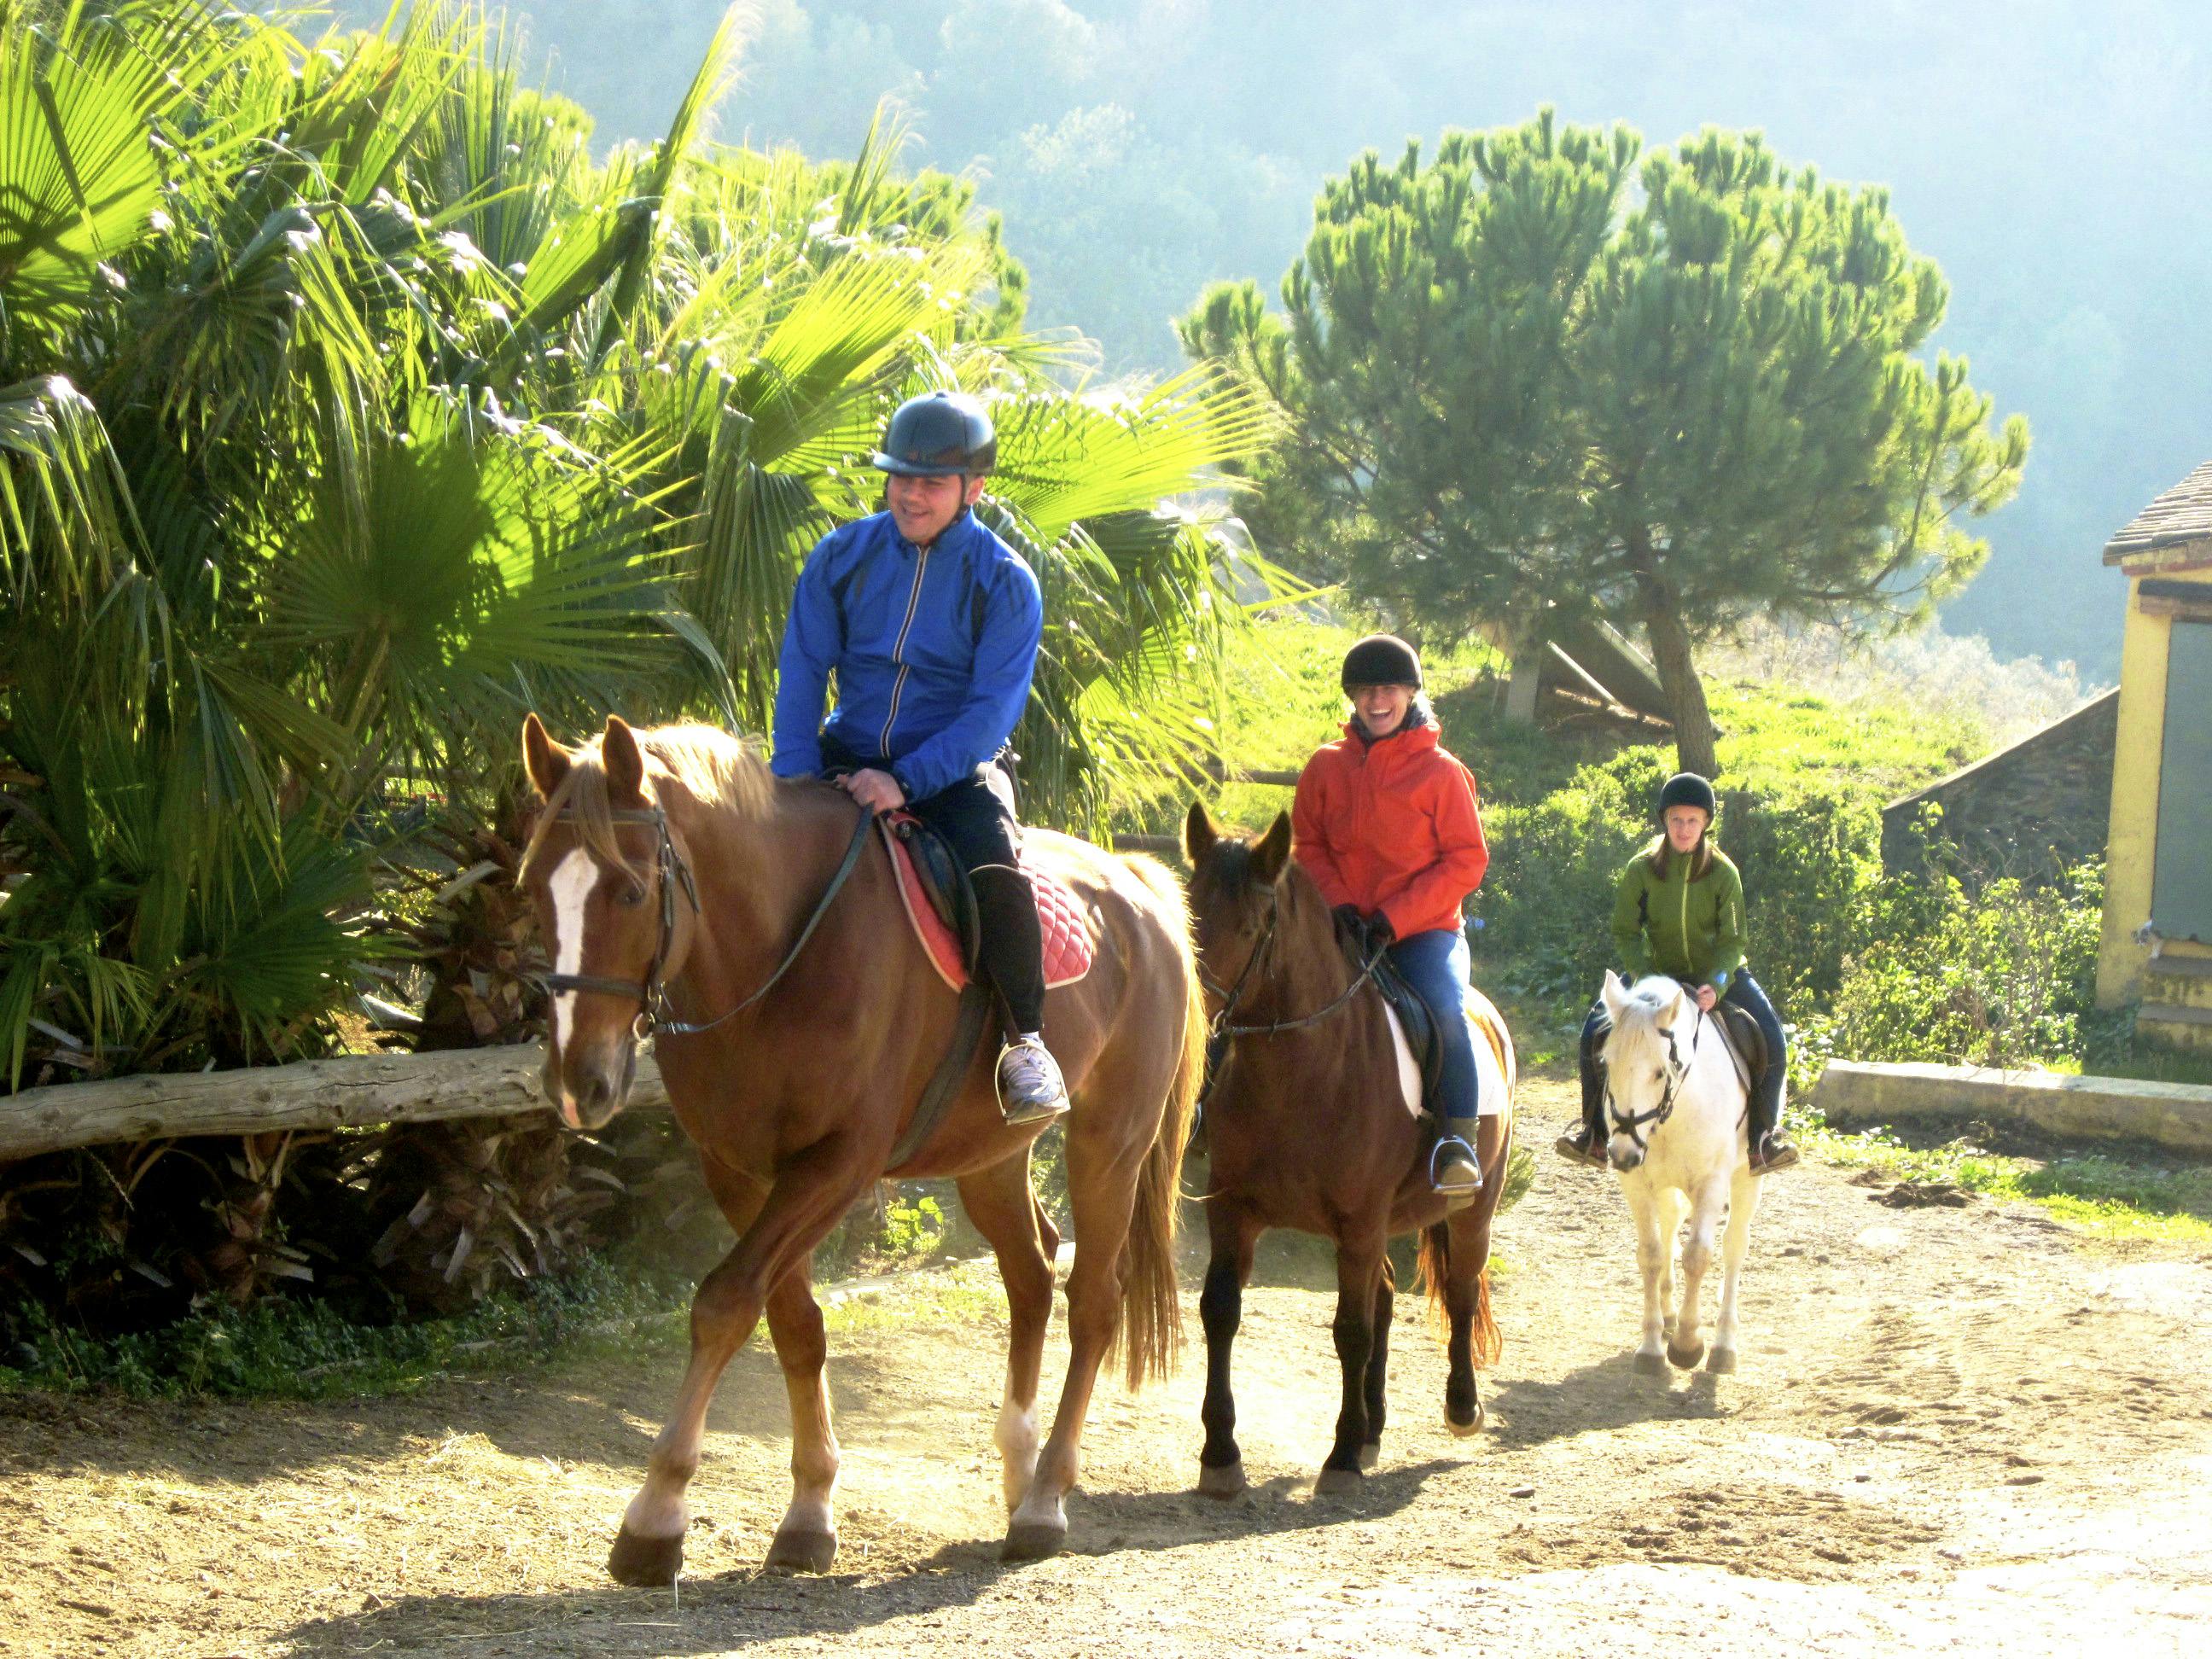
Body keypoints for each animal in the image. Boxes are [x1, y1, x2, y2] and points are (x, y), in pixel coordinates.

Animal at [515, 716, 1203, 1583]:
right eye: (533, 892)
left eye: (631, 892)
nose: (580, 1083)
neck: (782, 948)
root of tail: (1140, 886)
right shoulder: (740, 1172)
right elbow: (793, 1322)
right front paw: (809, 1513)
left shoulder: (838, 1165)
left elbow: (723, 1302)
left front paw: (656, 1516)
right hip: (990, 1157)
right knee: (1032, 1275)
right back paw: (1018, 1472)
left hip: (1110, 1144)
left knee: (1094, 1302)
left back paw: (1046, 1500)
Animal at [1176, 805, 1522, 1495]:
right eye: (1190, 913)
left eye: (1250, 928)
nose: (1198, 1018)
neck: (1303, 1073)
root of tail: (1486, 1016)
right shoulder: (1232, 1211)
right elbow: (1221, 1311)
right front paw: (1221, 1453)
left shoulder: (1359, 1222)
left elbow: (1350, 1331)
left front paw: (1337, 1458)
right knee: (1386, 1297)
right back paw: (1372, 1426)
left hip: (1472, 1210)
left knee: (1460, 1293)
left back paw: (1460, 1407)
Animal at [1592, 973, 1761, 1380]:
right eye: (1607, 1063)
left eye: (1660, 1071)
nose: (1622, 1153)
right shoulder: (1636, 1184)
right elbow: (1651, 1255)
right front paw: (1653, 1347)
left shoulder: (1711, 1183)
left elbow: (1698, 1255)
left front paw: (1687, 1344)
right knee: (1669, 1225)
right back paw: (1669, 1316)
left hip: (1747, 1176)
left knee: (1735, 1247)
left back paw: (1723, 1345)